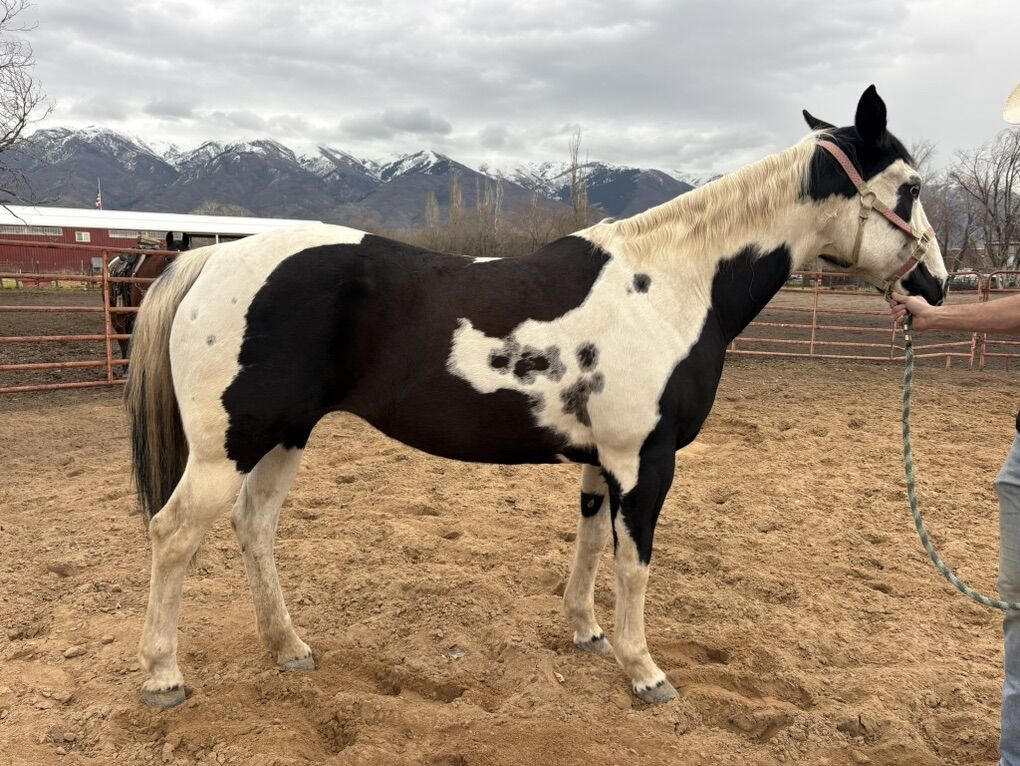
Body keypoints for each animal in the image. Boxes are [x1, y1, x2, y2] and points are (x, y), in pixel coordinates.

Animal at [124, 86, 947, 709]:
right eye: (909, 188)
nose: (936, 285)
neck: (668, 287)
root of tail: (211, 260)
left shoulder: (600, 461)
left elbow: (588, 542)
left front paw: (586, 632)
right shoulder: (645, 463)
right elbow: (635, 563)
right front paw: (645, 671)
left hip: (285, 435)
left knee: (253, 527)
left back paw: (289, 647)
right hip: (230, 445)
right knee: (174, 534)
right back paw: (165, 677)